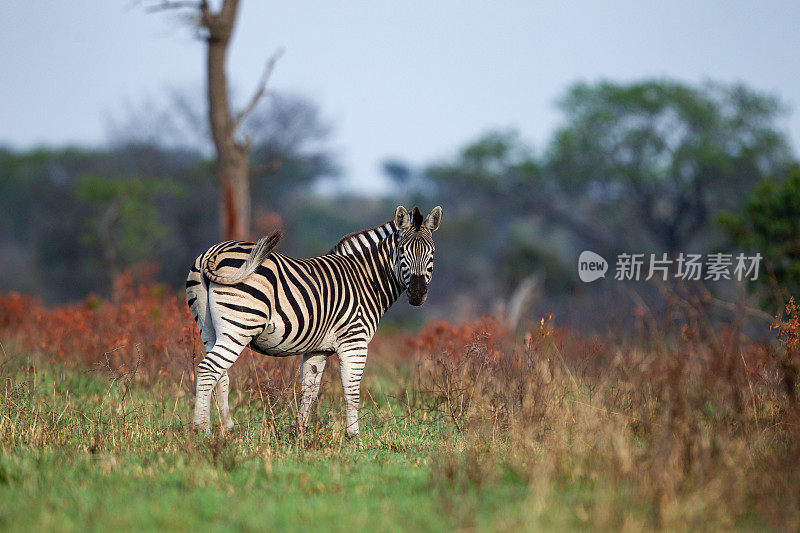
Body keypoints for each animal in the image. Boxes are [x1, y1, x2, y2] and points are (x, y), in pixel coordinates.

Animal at [184, 205, 440, 436]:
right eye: (402, 252)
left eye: (432, 253)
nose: (418, 293)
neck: (366, 279)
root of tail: (214, 252)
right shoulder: (354, 342)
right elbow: (352, 391)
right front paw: (354, 437)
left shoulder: (318, 349)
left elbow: (309, 390)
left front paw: (300, 434)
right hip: (239, 326)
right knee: (208, 370)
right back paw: (200, 431)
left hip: (209, 329)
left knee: (220, 375)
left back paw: (226, 429)